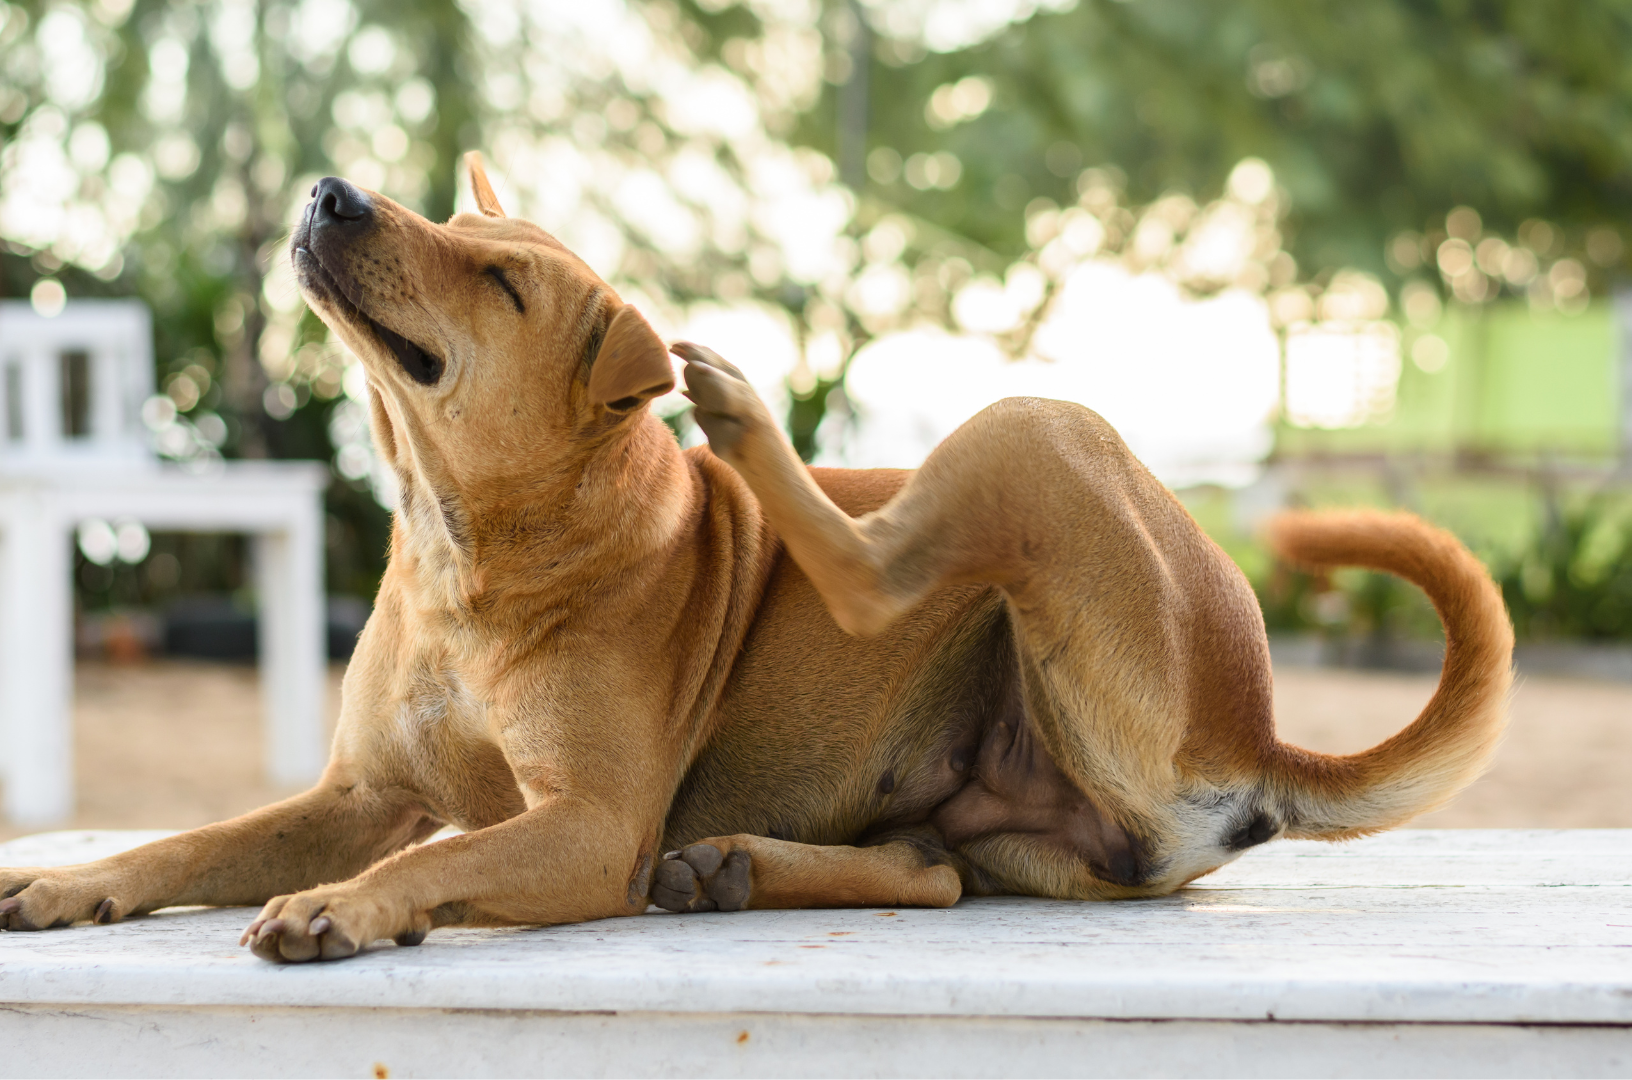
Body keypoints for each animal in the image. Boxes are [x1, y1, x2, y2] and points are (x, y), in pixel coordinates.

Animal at [0, 156, 1507, 959]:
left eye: (500, 281)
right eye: (453, 224)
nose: (330, 192)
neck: (468, 547)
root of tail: (1256, 726)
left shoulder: (589, 828)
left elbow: (428, 863)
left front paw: (342, 908)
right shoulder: (358, 793)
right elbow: (191, 839)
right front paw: (71, 880)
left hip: (1034, 429)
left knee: (879, 571)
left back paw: (739, 415)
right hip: (1012, 824)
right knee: (934, 869)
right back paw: (739, 866)